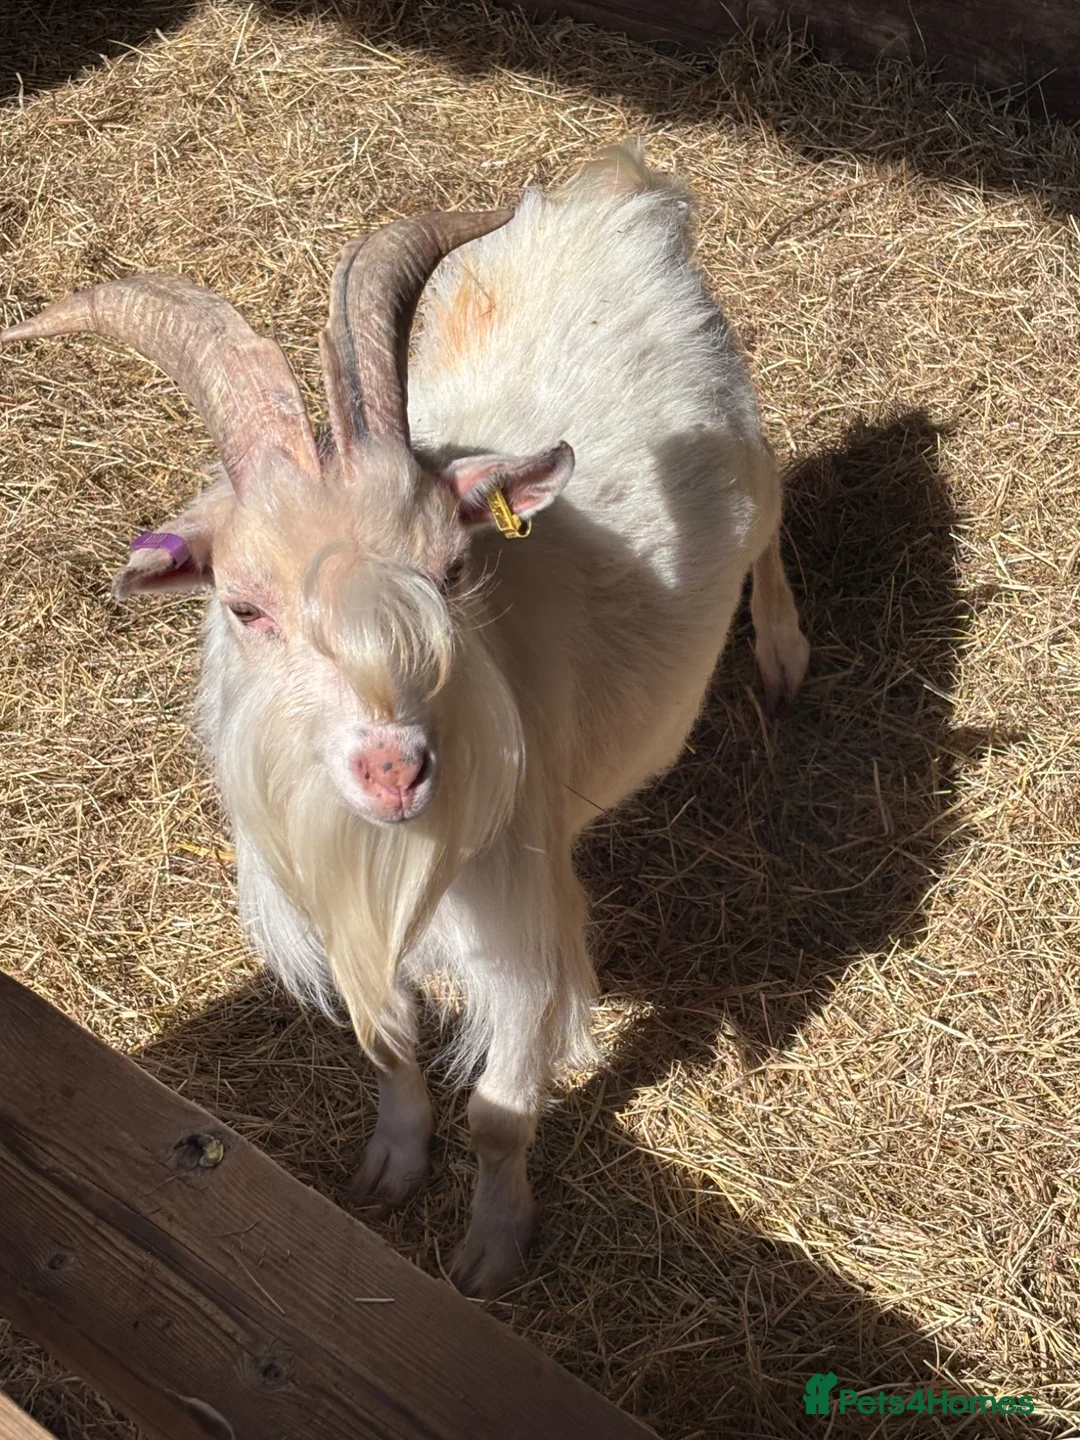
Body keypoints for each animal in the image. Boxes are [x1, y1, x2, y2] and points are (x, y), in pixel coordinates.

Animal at [2, 144, 809, 1297]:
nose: (396, 771)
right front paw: (389, 1164)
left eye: (453, 567)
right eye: (244, 607)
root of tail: (613, 189)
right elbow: (384, 1046)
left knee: (774, 524)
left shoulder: (523, 927)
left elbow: (503, 1114)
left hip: (746, 435)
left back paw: (784, 654)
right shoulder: (339, 909)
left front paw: (490, 1250)